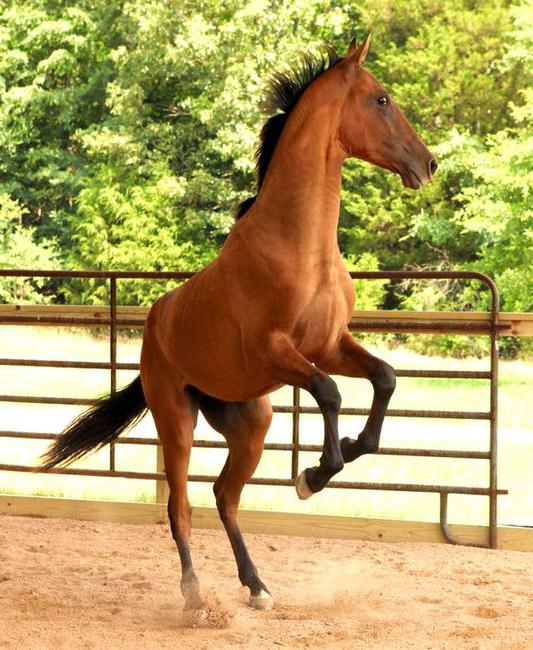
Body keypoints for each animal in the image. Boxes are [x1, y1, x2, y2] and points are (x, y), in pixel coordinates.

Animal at [43, 35, 436, 612]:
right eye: (381, 99)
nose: (428, 164)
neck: (302, 247)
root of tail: (156, 328)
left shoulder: (331, 344)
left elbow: (384, 378)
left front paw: (330, 461)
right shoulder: (280, 353)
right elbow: (330, 392)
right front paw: (315, 474)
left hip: (251, 423)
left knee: (225, 497)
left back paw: (256, 586)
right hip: (176, 422)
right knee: (180, 507)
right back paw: (194, 596)